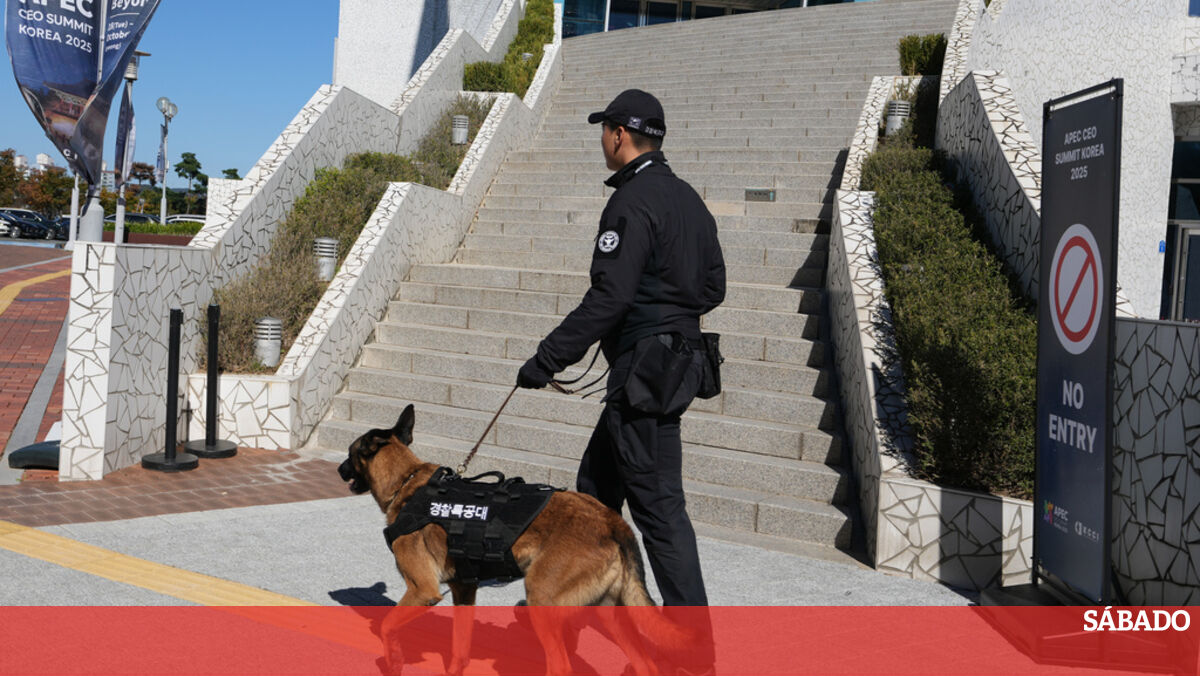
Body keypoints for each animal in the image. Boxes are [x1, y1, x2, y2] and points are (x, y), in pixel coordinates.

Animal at [338, 404, 693, 676]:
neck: (406, 482)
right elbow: (460, 649)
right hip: (609, 612)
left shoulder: (422, 590)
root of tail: (612, 521)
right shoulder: (464, 591)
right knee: (645, 663)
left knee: (561, 665)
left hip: (542, 602)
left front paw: (394, 660)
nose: (340, 470)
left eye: (349, 453)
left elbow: (387, 627)